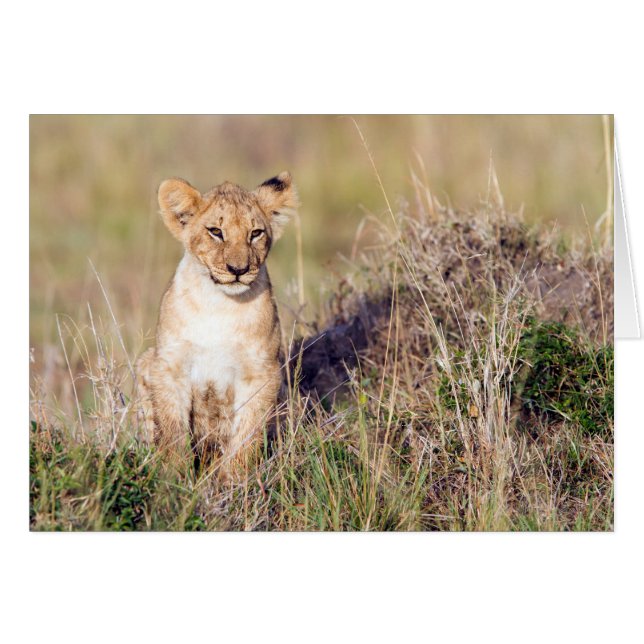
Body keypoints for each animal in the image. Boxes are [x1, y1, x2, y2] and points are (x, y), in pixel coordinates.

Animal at [136, 171, 298, 479]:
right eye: (215, 231)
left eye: (255, 233)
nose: (238, 270)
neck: (220, 305)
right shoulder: (169, 365)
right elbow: (172, 430)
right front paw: (174, 478)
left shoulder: (261, 372)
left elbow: (246, 434)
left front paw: (234, 481)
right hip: (145, 361)